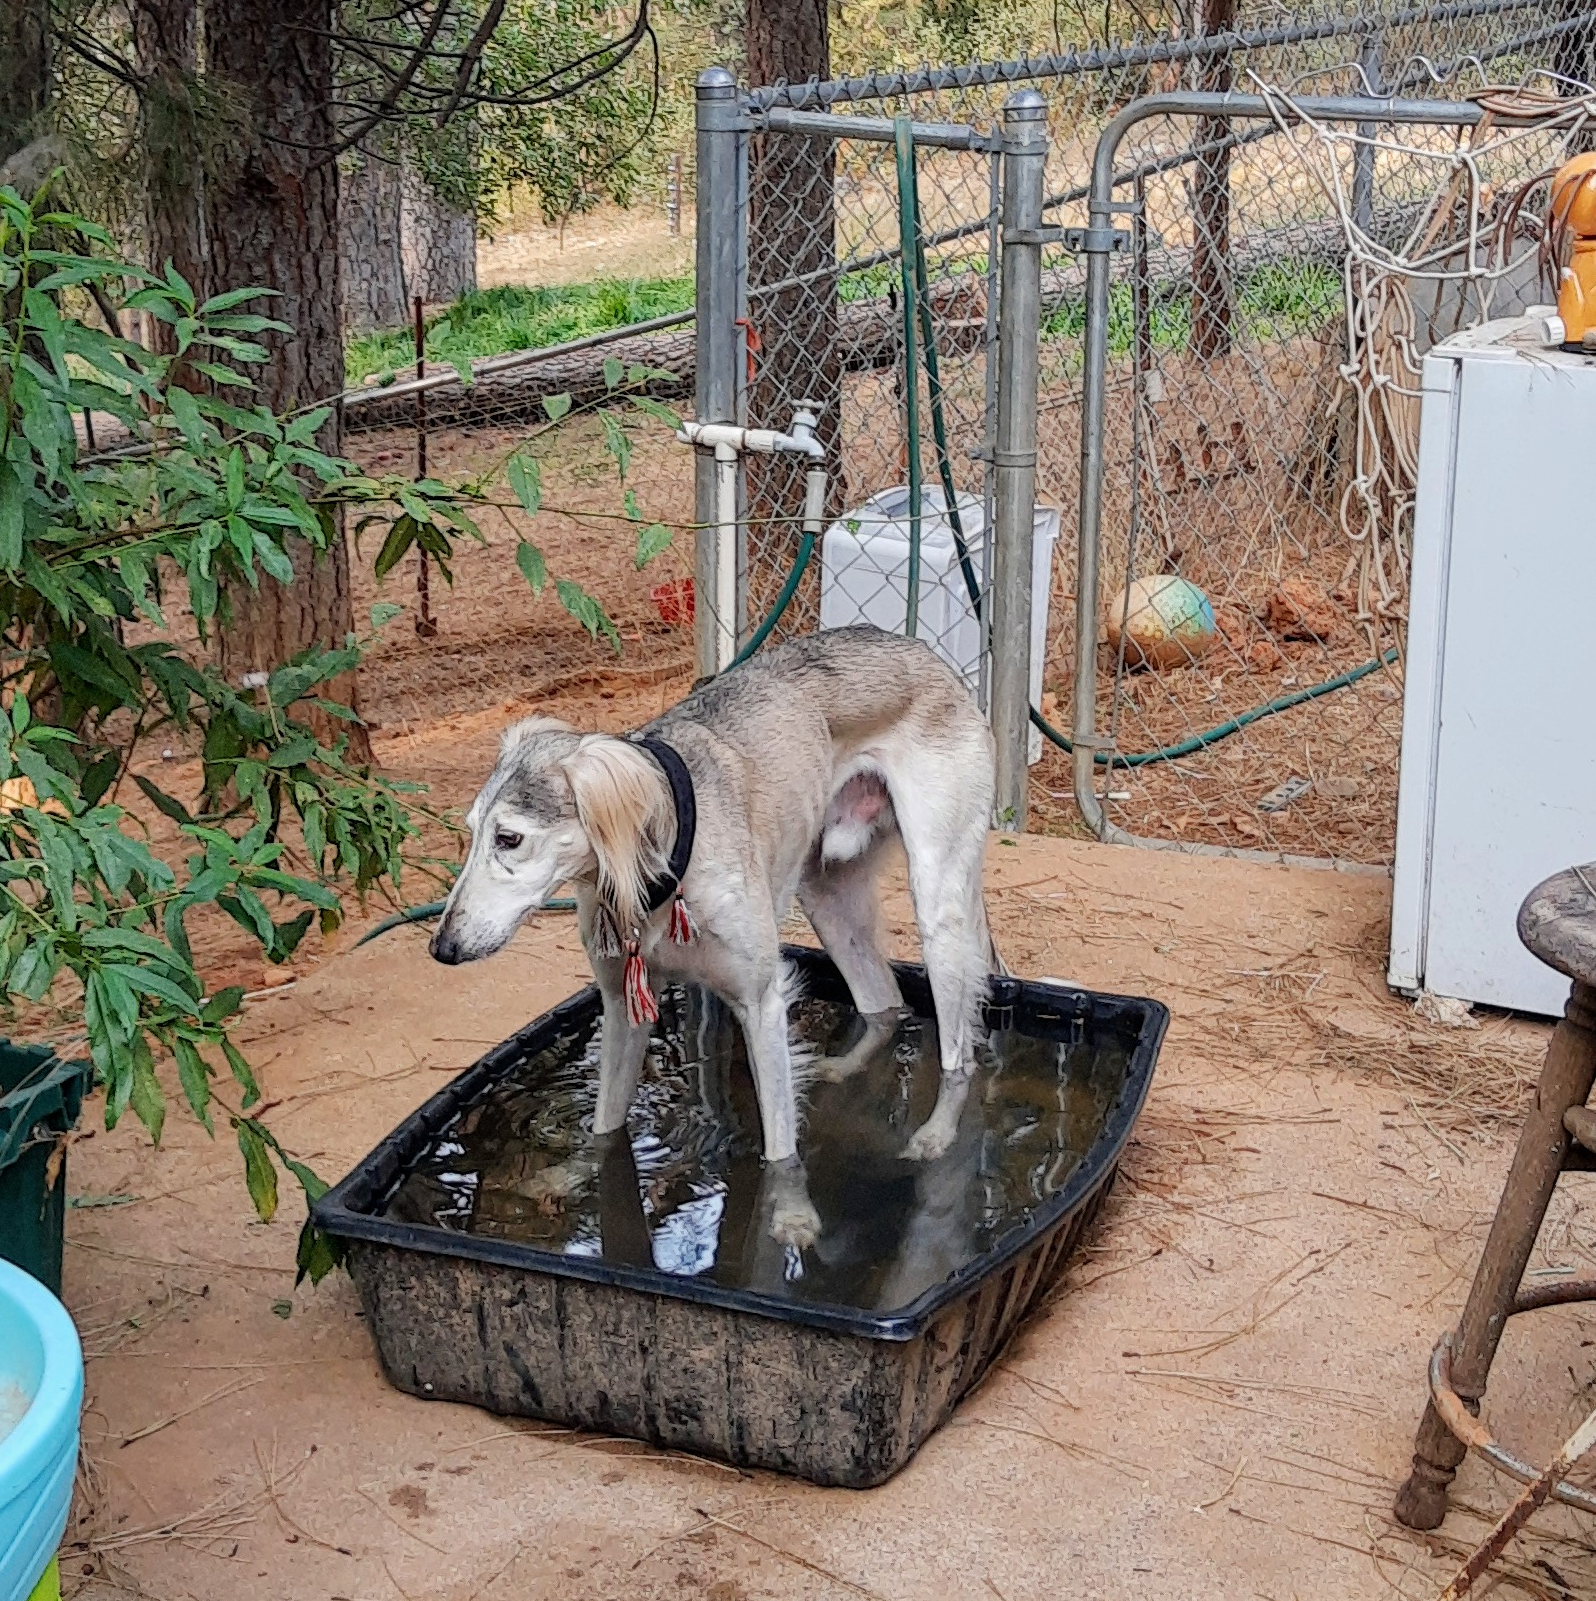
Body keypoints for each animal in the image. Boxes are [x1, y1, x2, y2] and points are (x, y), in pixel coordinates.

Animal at [422, 617, 998, 1242]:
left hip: (937, 898)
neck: (660, 873)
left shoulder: (761, 1003)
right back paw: (839, 1067)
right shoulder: (623, 1009)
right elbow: (606, 1130)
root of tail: (923, 651)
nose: (442, 947)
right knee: (885, 1000)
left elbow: (780, 1152)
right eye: (471, 832)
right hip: (826, 892)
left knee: (958, 1055)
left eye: (509, 839)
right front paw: (573, 1175)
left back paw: (935, 1136)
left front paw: (791, 1215)